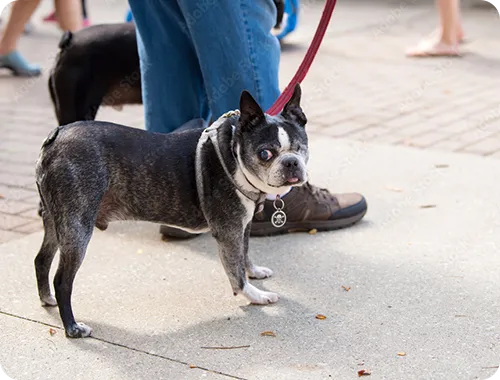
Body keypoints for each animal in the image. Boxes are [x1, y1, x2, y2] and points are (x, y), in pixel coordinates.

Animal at [34, 84, 308, 338]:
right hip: (77, 226)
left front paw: (255, 272)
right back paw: (72, 327)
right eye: (265, 153)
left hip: (56, 220)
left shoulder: (243, 225)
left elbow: (245, 253)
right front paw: (256, 296)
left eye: (301, 148)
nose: (291, 162)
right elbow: (235, 270)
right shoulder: (229, 231)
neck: (233, 155)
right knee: (63, 280)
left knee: (41, 259)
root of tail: (56, 135)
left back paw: (47, 299)